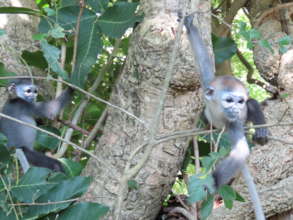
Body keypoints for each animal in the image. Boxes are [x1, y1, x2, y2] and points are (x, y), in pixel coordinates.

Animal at [184, 14, 268, 219]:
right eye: (229, 100)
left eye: (239, 101)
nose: (237, 108)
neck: (217, 111)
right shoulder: (208, 83)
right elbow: (203, 60)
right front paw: (190, 27)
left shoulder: (234, 123)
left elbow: (241, 151)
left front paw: (213, 182)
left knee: (253, 104)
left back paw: (261, 132)